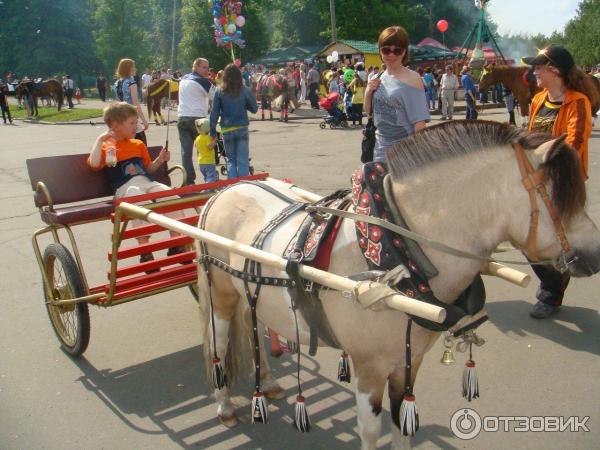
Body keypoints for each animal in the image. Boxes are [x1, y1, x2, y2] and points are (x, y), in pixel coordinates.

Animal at [196, 120, 600, 450]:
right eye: (560, 198)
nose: (596, 254)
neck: (398, 257)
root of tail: (226, 190)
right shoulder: (370, 368)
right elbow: (372, 433)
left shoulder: (409, 361)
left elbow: (402, 425)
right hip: (221, 292)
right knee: (219, 339)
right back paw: (224, 404)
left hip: (250, 291)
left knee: (255, 328)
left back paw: (269, 383)